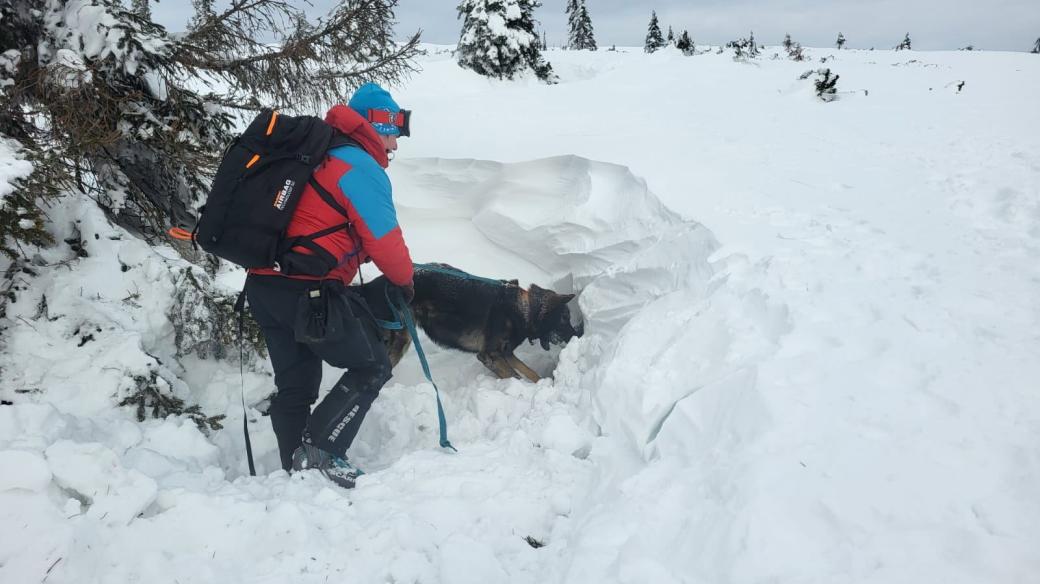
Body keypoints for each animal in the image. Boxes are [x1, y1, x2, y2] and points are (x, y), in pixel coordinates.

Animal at [372, 263, 586, 382]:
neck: (525, 308)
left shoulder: (505, 354)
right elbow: (515, 376)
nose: (578, 334)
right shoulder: (490, 355)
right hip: (401, 339)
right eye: (564, 319)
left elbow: (530, 372)